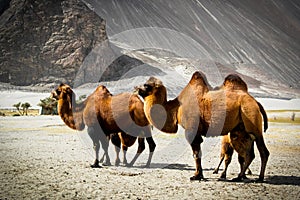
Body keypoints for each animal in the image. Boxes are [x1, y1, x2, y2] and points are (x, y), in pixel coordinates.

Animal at [136, 71, 270, 181]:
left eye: (146, 85)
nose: (137, 88)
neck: (176, 108)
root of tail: (256, 102)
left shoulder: (191, 130)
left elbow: (196, 154)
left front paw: (196, 176)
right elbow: (198, 153)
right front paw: (199, 175)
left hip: (251, 118)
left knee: (263, 151)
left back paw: (258, 178)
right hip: (240, 129)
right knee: (248, 153)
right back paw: (239, 177)